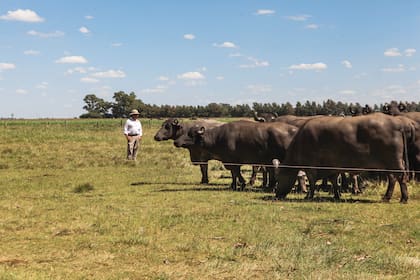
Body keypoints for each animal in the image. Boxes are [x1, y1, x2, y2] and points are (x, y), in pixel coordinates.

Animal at [274, 112, 416, 202]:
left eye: (279, 178)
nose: (276, 195)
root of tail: (399, 124)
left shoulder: (311, 167)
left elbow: (313, 182)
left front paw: (309, 196)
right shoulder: (332, 167)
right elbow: (334, 181)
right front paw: (336, 196)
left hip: (394, 162)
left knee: (400, 177)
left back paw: (403, 198)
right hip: (389, 164)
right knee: (392, 179)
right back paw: (387, 197)